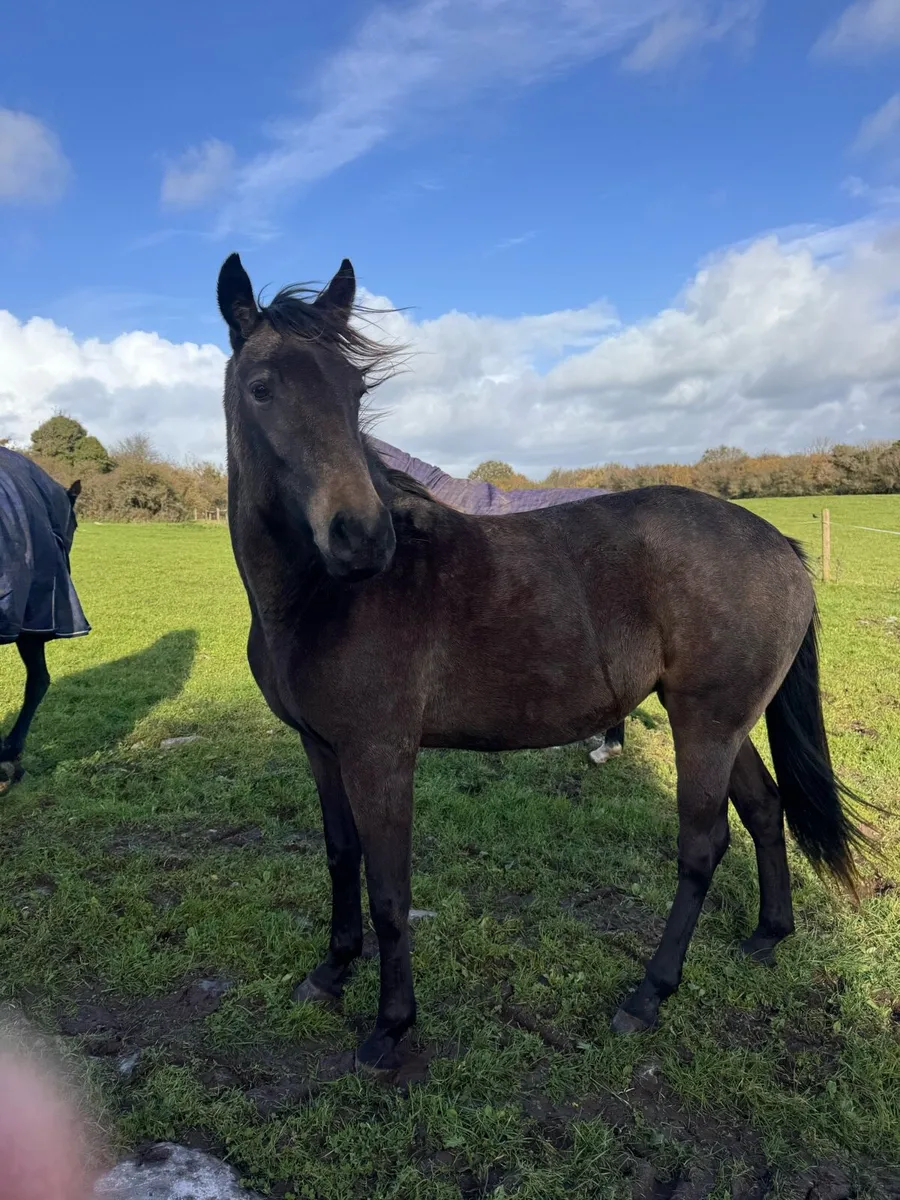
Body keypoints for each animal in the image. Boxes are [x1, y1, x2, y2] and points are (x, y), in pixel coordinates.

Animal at [217, 252, 866, 1071]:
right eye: (262, 386)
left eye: (355, 390)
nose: (361, 537)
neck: (316, 600)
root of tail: (781, 546)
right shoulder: (321, 747)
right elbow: (341, 857)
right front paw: (331, 972)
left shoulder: (380, 754)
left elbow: (390, 889)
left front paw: (391, 1026)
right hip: (720, 721)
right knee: (763, 808)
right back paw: (767, 935)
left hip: (707, 727)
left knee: (702, 845)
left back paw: (648, 995)